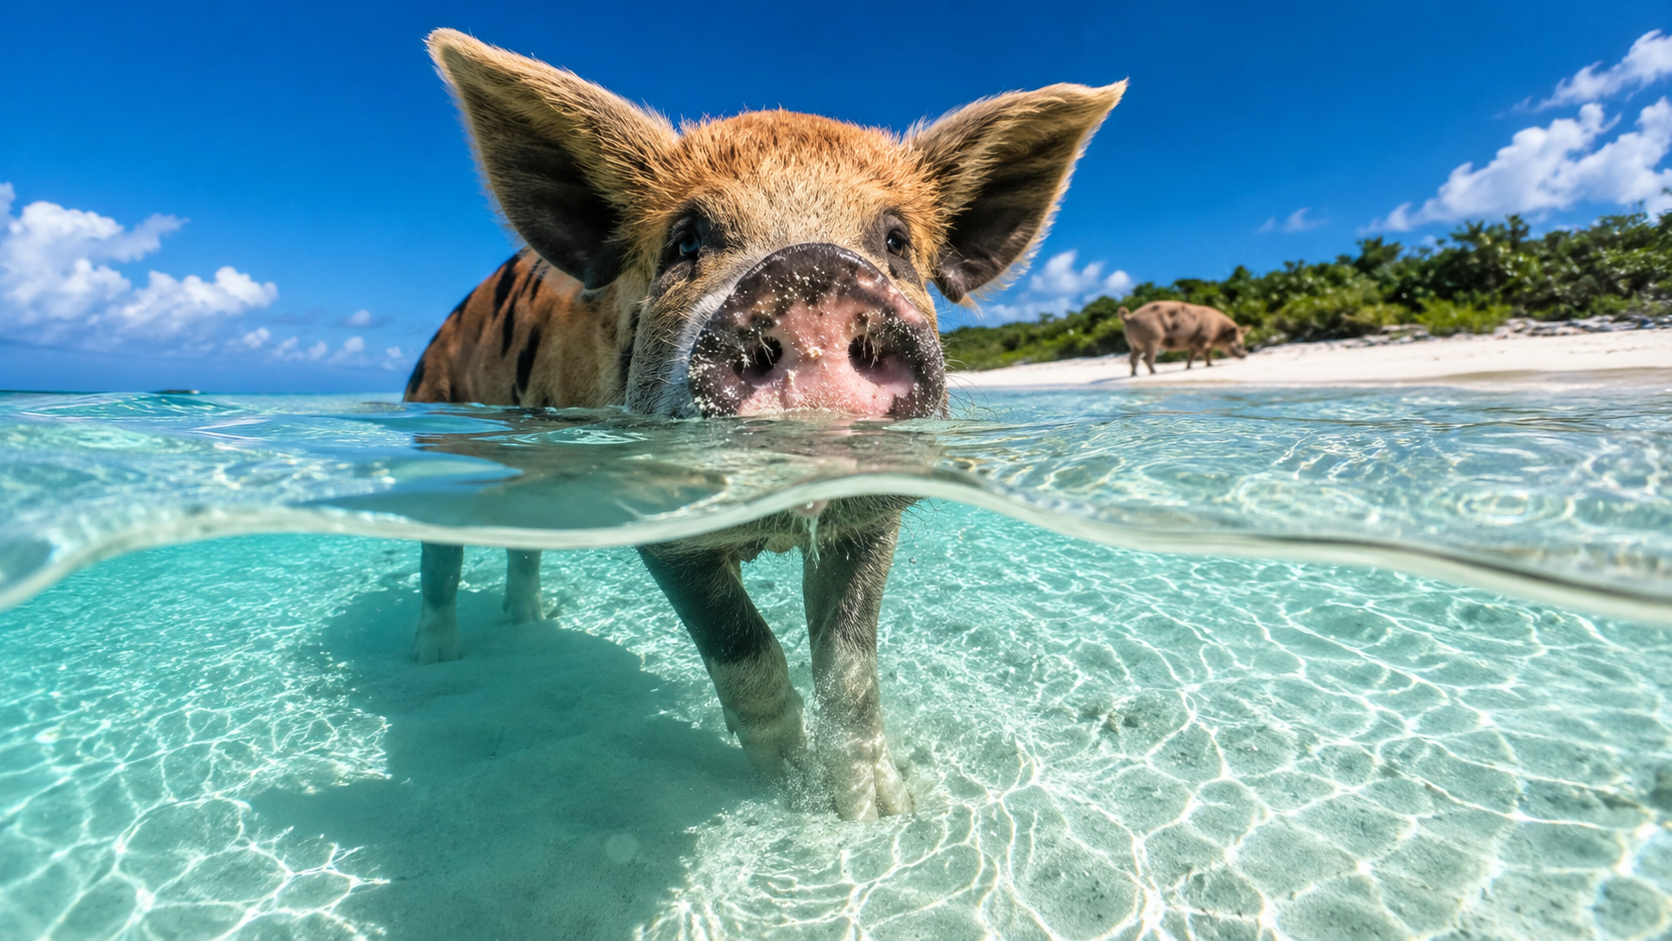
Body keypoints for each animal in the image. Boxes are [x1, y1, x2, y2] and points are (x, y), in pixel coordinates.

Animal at [404, 29, 1123, 820]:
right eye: (687, 240)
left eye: (896, 240)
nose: (813, 273)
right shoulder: (656, 507)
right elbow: (739, 644)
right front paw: (784, 777)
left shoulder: (871, 519)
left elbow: (849, 664)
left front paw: (876, 808)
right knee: (440, 560)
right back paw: (434, 661)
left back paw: (526, 623)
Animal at [1118, 302, 1247, 376]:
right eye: (1239, 344)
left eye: (1242, 343)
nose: (1246, 354)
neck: (1218, 329)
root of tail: (1129, 318)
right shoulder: (1203, 338)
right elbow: (1207, 352)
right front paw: (1211, 365)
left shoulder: (1193, 342)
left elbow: (1192, 355)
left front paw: (1188, 367)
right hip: (1152, 337)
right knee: (1146, 358)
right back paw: (1155, 373)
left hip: (1135, 344)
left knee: (1133, 359)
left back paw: (1134, 375)